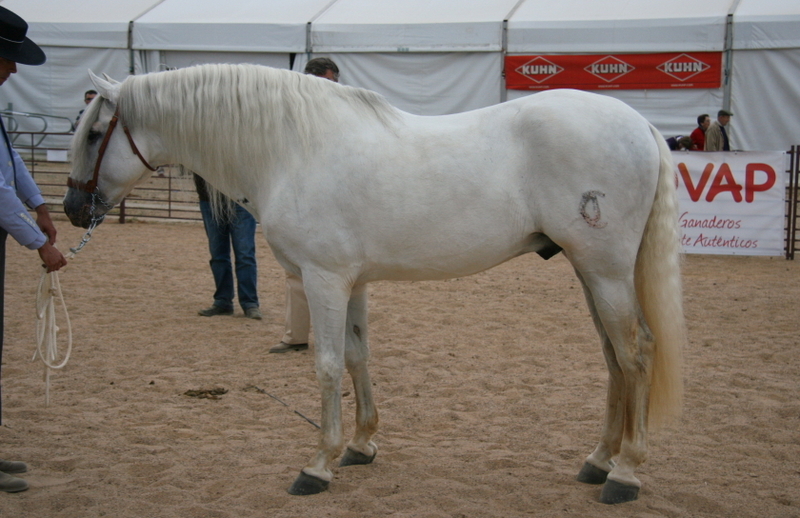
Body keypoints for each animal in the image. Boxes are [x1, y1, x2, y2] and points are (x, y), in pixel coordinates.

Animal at [64, 64, 685, 505]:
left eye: (95, 133)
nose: (71, 209)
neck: (292, 149)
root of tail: (641, 125)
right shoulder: (352, 282)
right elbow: (359, 357)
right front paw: (361, 446)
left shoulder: (323, 280)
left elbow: (327, 365)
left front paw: (317, 465)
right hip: (589, 270)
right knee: (614, 359)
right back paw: (598, 460)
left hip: (604, 270)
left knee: (636, 354)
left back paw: (624, 474)